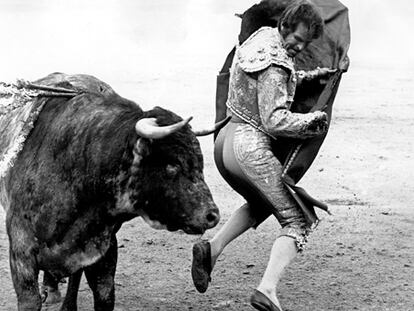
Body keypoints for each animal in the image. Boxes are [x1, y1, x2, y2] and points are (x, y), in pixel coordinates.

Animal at [0, 72, 223, 310]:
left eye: (199, 162)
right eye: (172, 165)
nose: (212, 215)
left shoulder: (103, 250)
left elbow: (105, 296)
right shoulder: (21, 253)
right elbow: (30, 301)